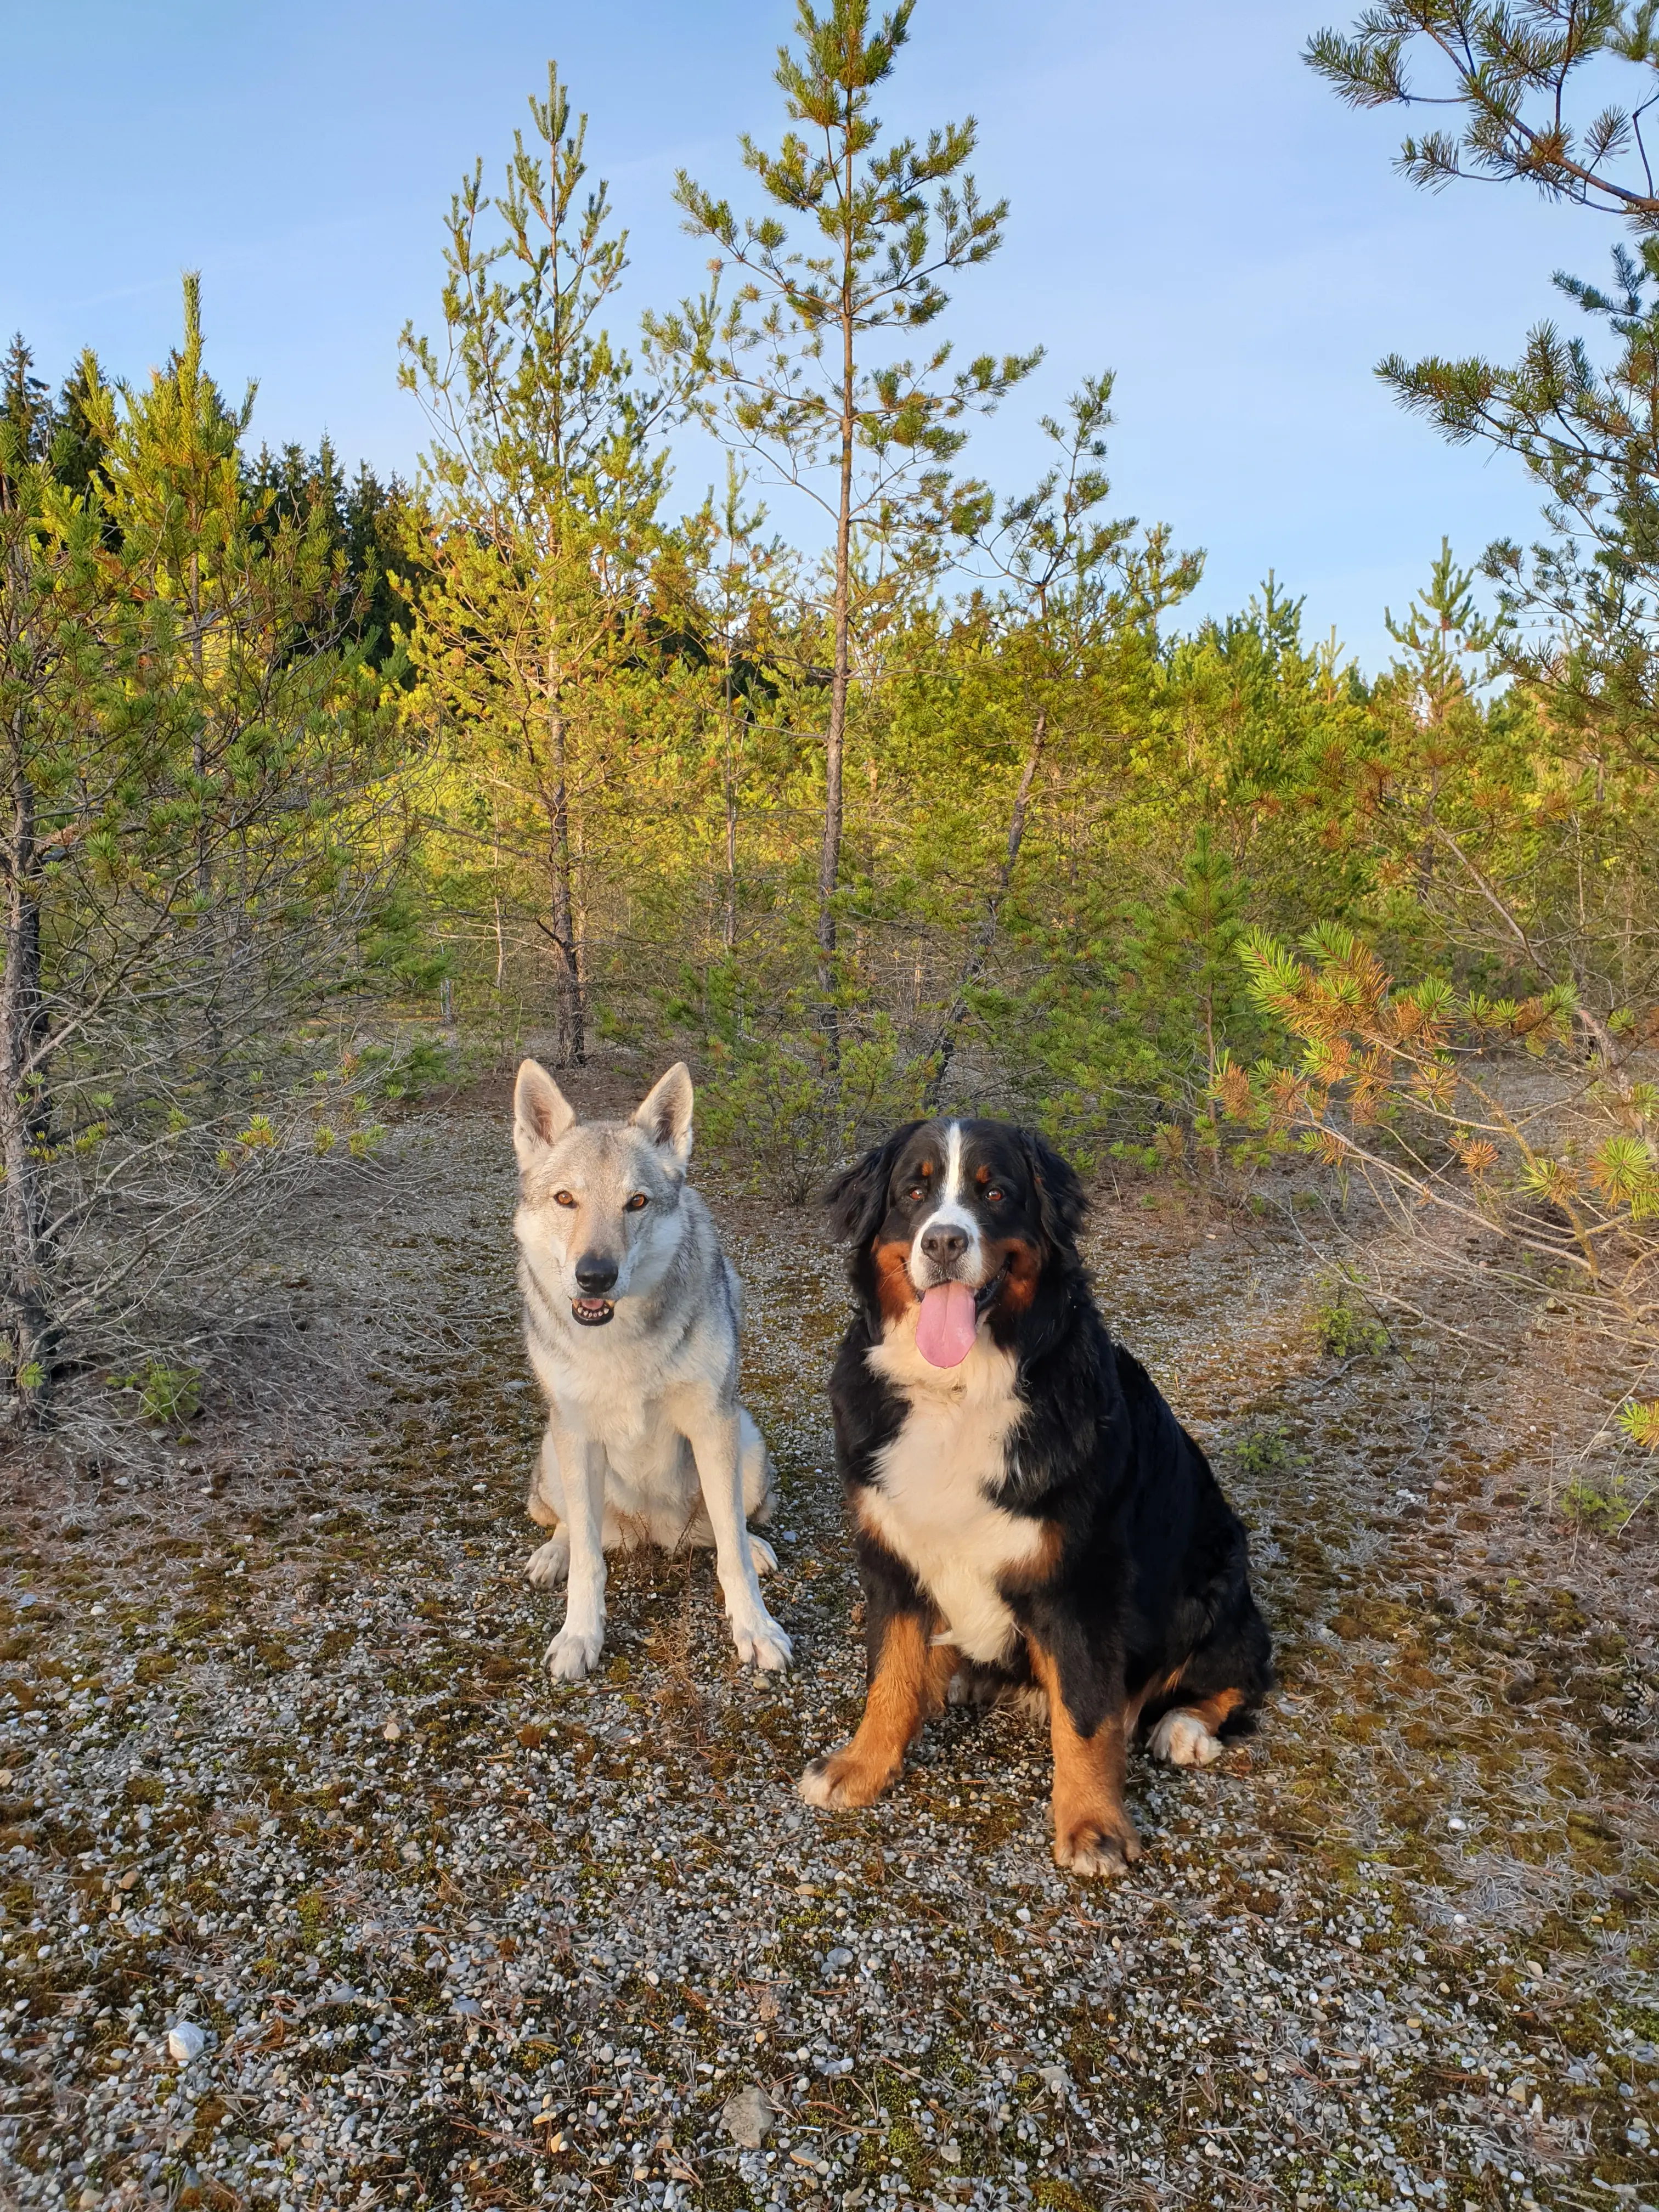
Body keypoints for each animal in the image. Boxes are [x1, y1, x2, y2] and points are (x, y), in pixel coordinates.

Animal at [800, 1115, 1274, 1876]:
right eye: (914, 1192)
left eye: (995, 1192)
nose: (944, 1242)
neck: (959, 1389)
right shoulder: (892, 1556)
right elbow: (890, 1674)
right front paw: (861, 1767)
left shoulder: (1079, 1580)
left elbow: (1086, 1714)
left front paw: (1093, 1826)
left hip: (1211, 1573)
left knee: (1240, 1666)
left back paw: (1184, 1725)